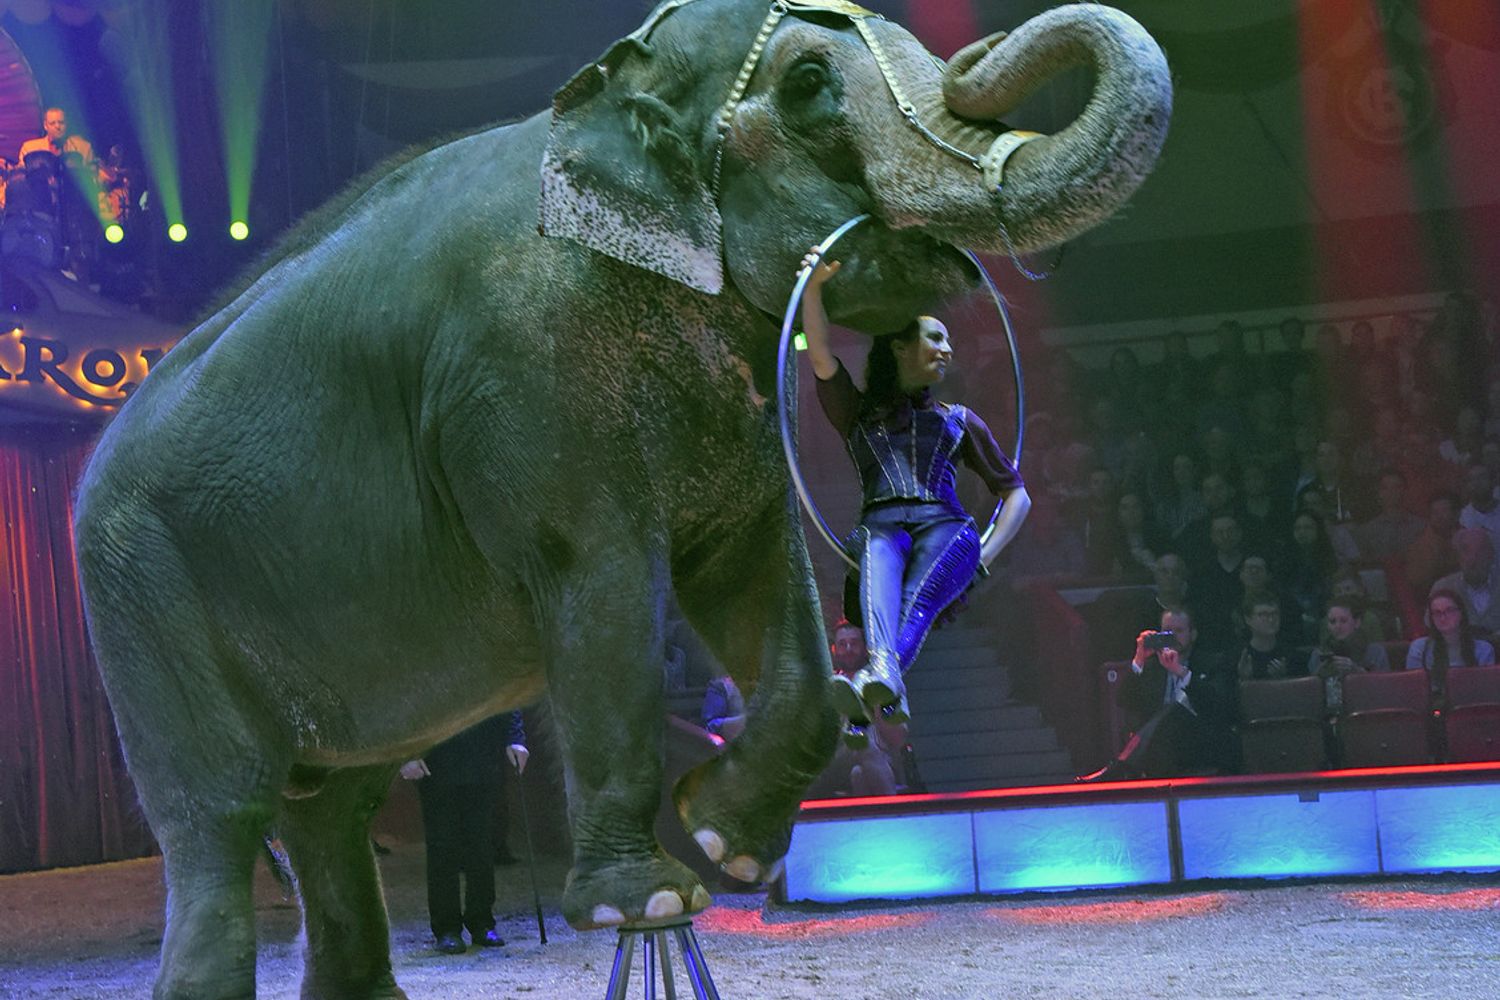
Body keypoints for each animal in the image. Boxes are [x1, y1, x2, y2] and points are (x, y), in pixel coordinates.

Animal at [72, 1, 1170, 997]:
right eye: (811, 84)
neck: (607, 95)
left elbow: (758, 575)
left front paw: (728, 844)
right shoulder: (528, 378)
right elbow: (600, 591)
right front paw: (649, 899)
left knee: (330, 813)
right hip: (144, 599)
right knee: (221, 816)